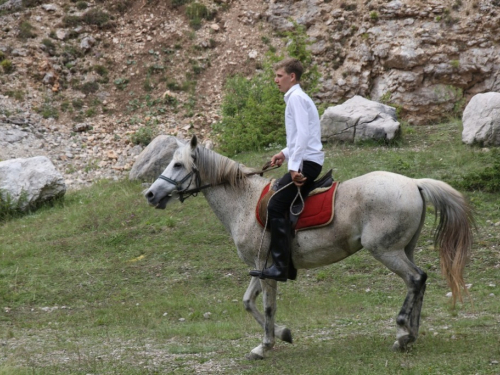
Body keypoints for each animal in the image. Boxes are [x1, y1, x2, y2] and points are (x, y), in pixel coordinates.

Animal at [144, 137, 472, 360]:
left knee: (415, 279)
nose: (150, 194)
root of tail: (414, 183)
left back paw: (403, 332)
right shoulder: (261, 266)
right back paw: (411, 333)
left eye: (178, 164)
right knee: (420, 281)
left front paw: (265, 345)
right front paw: (281, 334)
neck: (244, 203)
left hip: (386, 251)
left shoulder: (266, 267)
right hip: (404, 249)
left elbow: (268, 306)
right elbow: (248, 301)